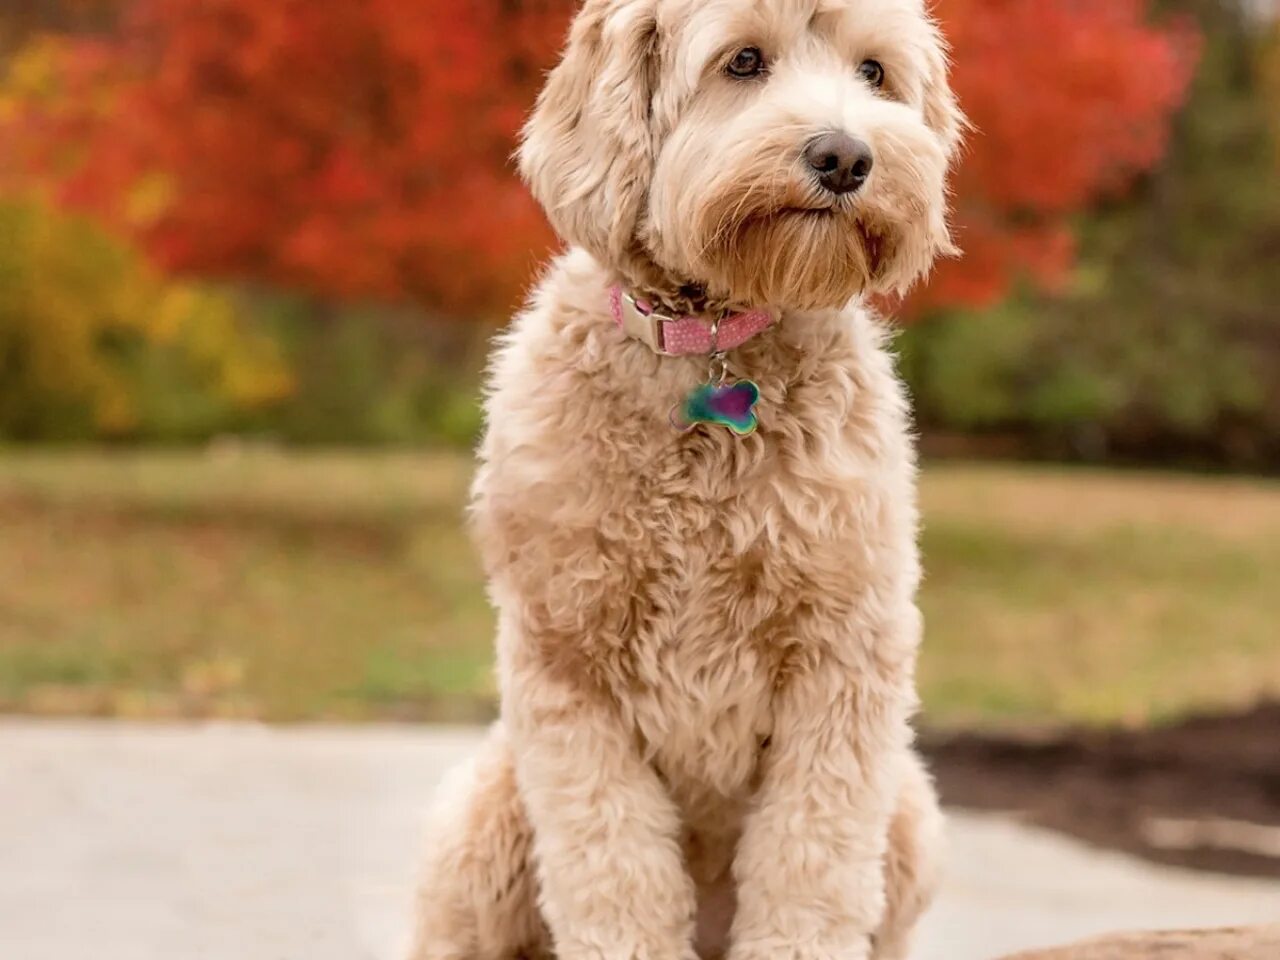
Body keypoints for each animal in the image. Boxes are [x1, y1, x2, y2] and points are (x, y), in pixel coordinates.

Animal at [407, 1, 962, 960]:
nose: (846, 157)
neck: (712, 347)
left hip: (911, 815)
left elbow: (811, 863)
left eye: (875, 73)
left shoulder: (844, 656)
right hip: (481, 820)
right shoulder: (569, 667)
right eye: (743, 61)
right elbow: (613, 866)